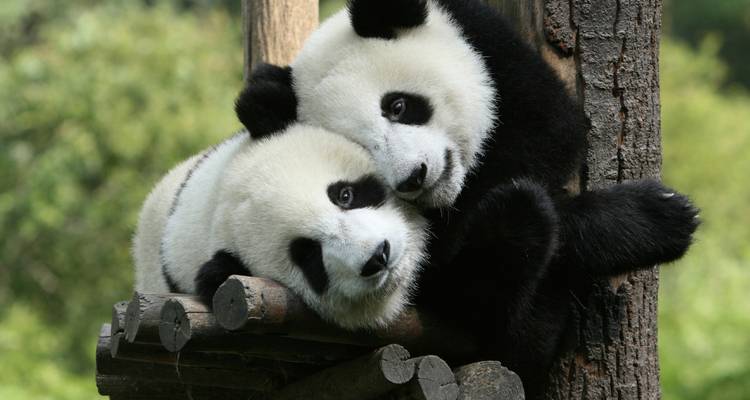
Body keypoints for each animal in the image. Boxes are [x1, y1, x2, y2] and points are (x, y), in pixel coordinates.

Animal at [234, 0, 699, 394]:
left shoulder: (494, 54)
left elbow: (551, 131)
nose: (414, 177)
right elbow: (452, 270)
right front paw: (655, 218)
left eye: (398, 106)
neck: (456, 193)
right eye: (362, 148)